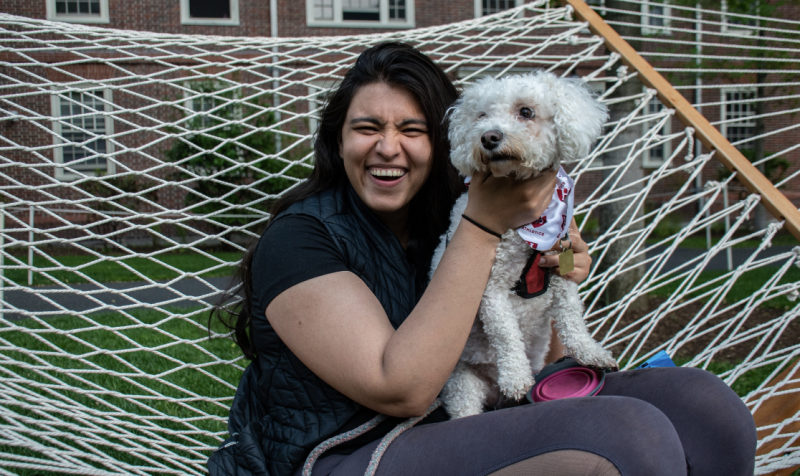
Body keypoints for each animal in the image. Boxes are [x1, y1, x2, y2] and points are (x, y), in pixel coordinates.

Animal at [434, 72, 616, 418]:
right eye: (481, 115)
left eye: (526, 112)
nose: (489, 137)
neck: (530, 226)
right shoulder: (490, 287)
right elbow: (505, 333)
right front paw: (516, 375)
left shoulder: (561, 268)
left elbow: (571, 317)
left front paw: (591, 352)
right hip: (462, 384)